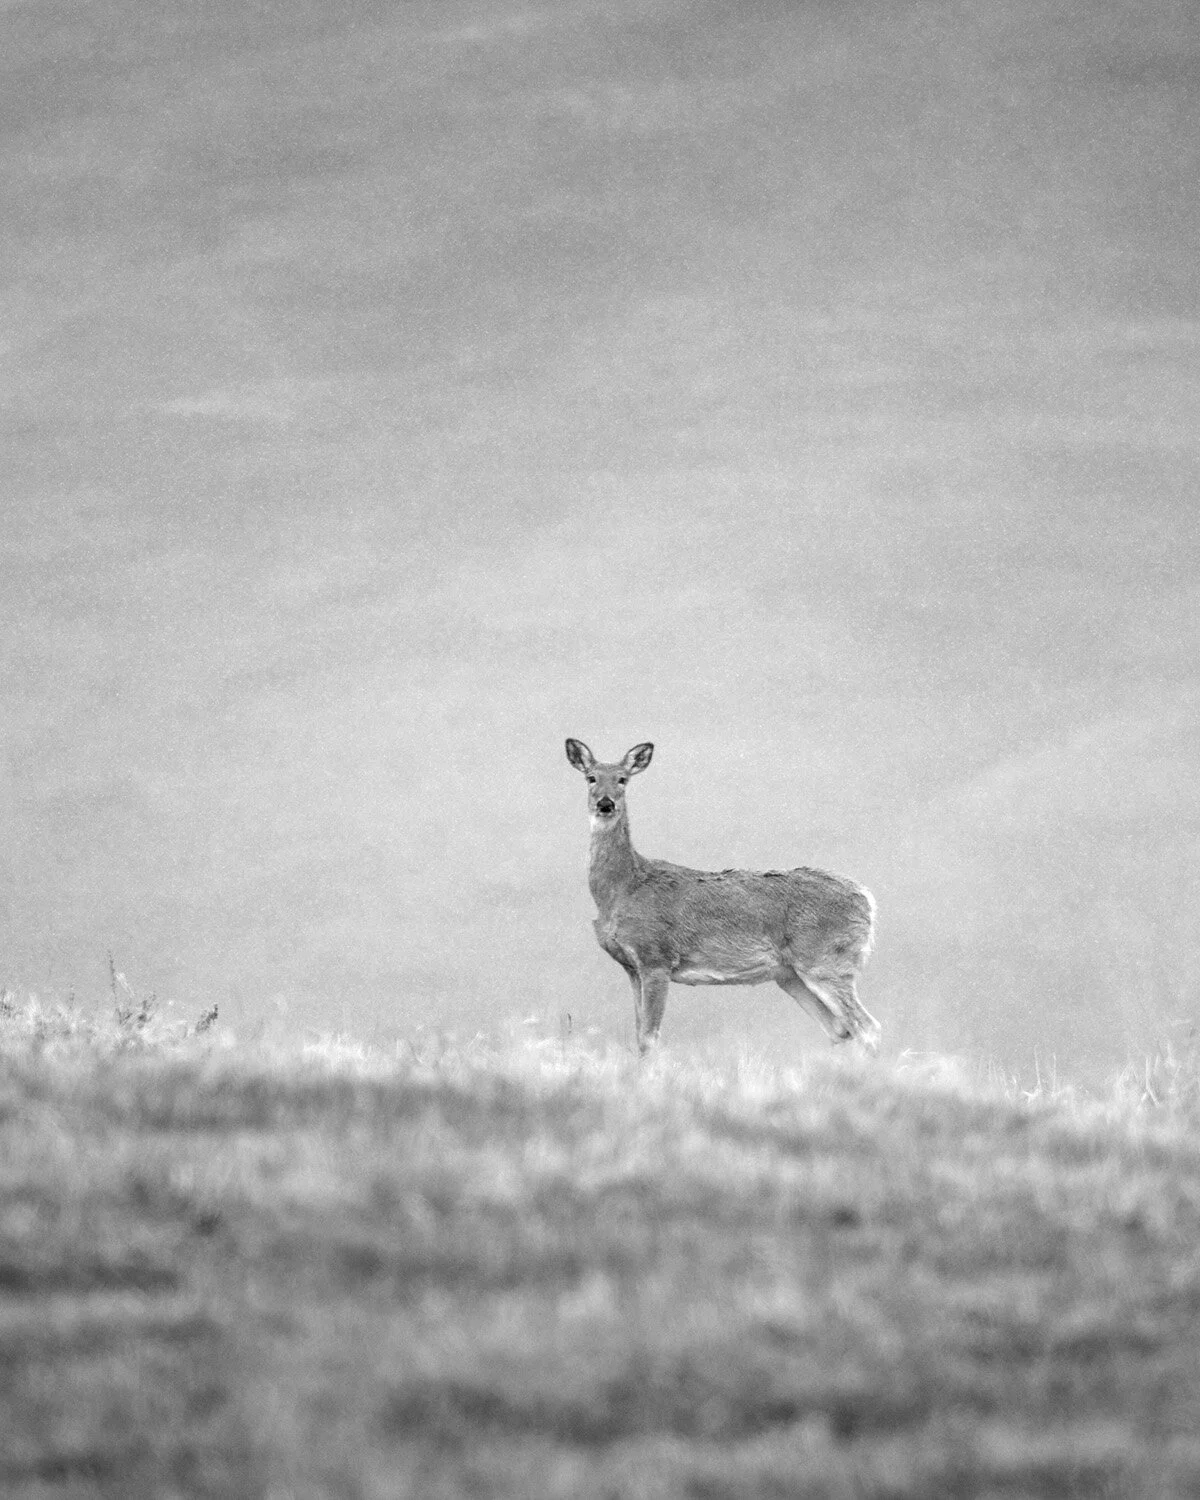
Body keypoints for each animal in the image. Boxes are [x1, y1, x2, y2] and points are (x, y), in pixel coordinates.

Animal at [565, 739, 880, 1056]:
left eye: (623, 779)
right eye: (591, 777)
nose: (606, 803)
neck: (622, 889)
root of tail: (866, 900)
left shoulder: (656, 957)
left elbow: (649, 1037)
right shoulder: (632, 967)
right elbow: (639, 1036)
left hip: (825, 960)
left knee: (867, 1027)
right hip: (791, 975)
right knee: (840, 1030)